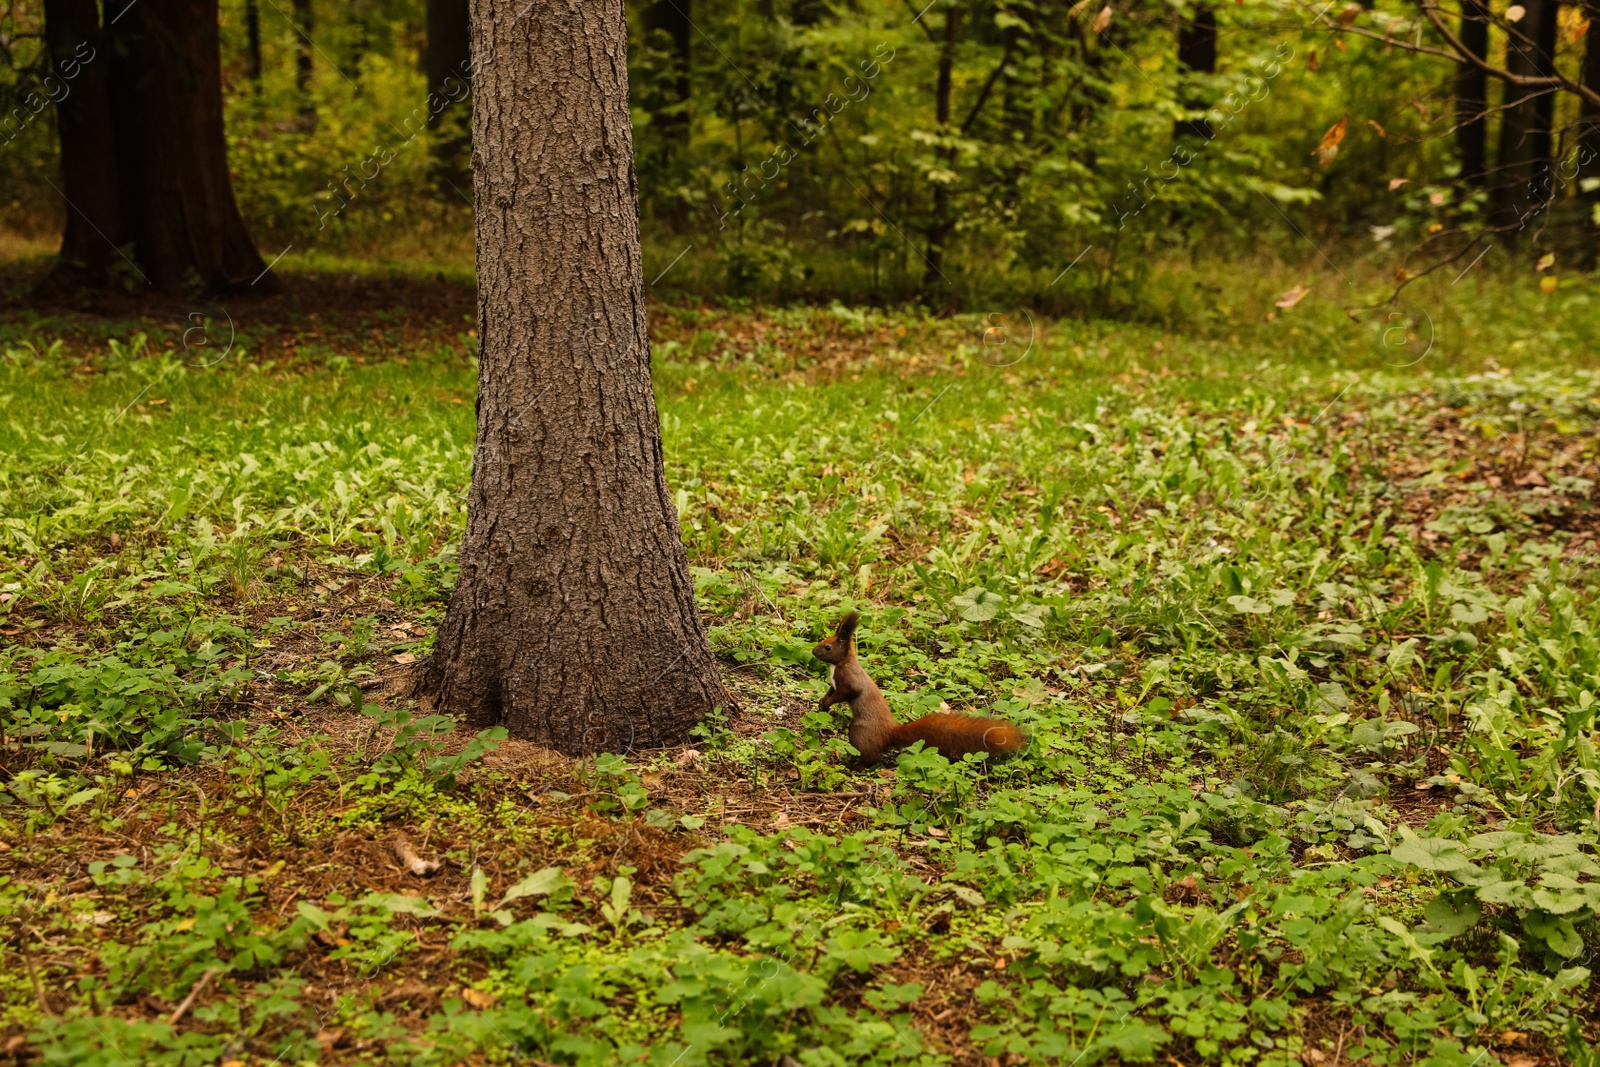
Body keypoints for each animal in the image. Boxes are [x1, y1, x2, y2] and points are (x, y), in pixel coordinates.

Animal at [812, 614, 1024, 764]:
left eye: (828, 647)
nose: (813, 651)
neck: (839, 665)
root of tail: (890, 733)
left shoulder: (850, 681)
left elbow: (847, 693)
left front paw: (827, 703)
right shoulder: (834, 683)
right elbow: (830, 692)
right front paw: (823, 703)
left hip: (860, 732)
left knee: (872, 757)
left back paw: (857, 765)